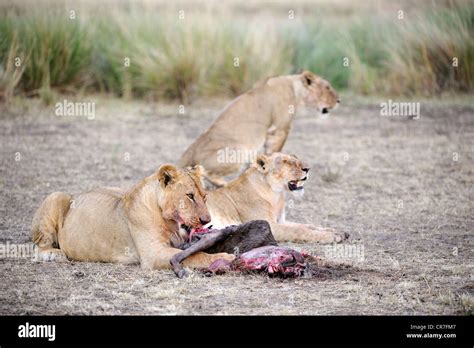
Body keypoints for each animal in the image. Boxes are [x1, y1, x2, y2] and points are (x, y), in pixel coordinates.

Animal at [31, 165, 235, 270]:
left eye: (205, 197)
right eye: (190, 196)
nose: (206, 221)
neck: (169, 221)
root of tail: (76, 194)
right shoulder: (153, 253)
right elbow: (196, 256)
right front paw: (227, 258)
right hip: (56, 196)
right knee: (38, 246)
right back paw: (53, 254)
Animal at [178, 69, 336, 186]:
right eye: (327, 87)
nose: (339, 100)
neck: (294, 87)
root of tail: (187, 155)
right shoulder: (279, 130)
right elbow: (275, 151)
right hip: (240, 150)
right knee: (205, 172)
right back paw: (224, 184)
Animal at [204, 154, 348, 243]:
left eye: (295, 159)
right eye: (285, 162)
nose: (307, 169)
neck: (276, 194)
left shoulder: (281, 221)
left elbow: (308, 226)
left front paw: (337, 232)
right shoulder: (269, 226)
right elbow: (299, 230)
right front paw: (331, 236)